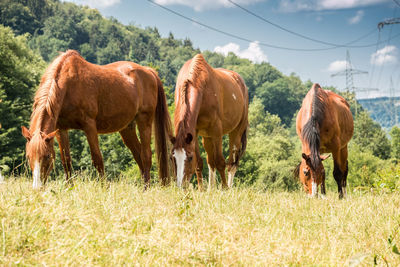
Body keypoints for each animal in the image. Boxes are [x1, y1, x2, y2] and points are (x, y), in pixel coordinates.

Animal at [21, 49, 172, 189]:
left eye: (47, 156)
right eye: (28, 156)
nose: (37, 187)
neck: (68, 85)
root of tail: (149, 71)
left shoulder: (89, 126)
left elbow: (97, 159)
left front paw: (103, 188)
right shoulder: (61, 129)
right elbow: (66, 161)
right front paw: (69, 187)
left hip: (144, 120)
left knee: (146, 156)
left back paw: (146, 189)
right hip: (127, 128)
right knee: (138, 155)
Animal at [171, 54, 248, 189]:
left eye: (189, 158)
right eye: (172, 158)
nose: (181, 185)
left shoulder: (216, 131)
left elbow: (220, 161)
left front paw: (224, 188)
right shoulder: (195, 133)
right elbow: (200, 163)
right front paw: (201, 190)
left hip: (236, 132)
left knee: (232, 163)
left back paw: (229, 186)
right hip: (206, 136)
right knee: (211, 161)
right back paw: (210, 189)